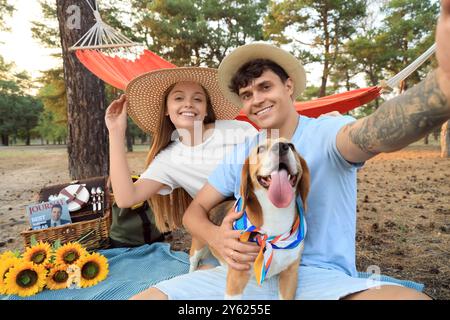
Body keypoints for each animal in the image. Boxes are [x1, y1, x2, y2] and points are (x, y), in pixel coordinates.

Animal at [189, 138, 310, 300]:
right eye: (261, 149)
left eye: (291, 146)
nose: (282, 147)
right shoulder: (236, 280)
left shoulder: (289, 276)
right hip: (198, 246)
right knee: (193, 263)